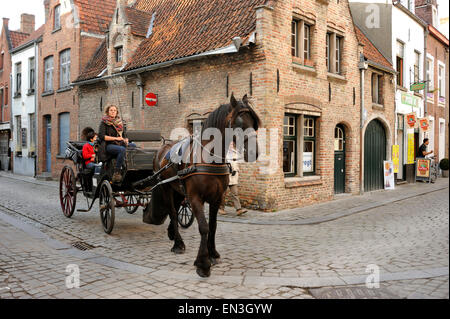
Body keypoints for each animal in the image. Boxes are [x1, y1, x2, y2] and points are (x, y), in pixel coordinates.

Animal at [144, 93, 262, 278]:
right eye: (238, 123)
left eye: (254, 122)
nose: (253, 152)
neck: (209, 158)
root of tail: (162, 148)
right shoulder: (195, 198)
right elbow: (204, 227)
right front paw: (203, 263)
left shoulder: (217, 198)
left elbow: (213, 226)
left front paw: (213, 254)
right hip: (166, 188)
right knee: (172, 212)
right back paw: (178, 244)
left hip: (178, 190)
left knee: (175, 210)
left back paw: (173, 234)